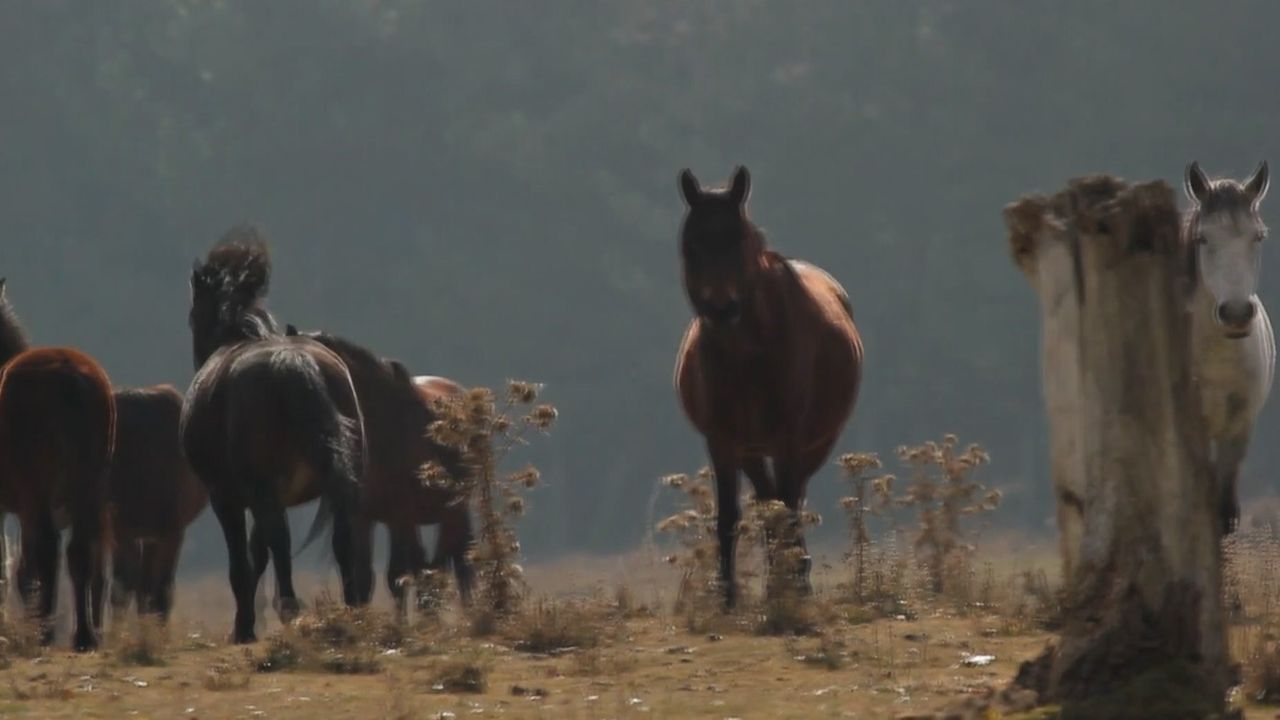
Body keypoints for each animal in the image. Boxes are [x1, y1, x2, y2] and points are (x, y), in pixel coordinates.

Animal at [0, 278, 114, 651]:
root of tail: (69, 373)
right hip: (86, 486)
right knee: (79, 553)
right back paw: (83, 635)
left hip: (38, 489)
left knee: (47, 551)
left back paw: (46, 633)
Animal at [108, 385, 208, 621]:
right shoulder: (121, 528)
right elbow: (125, 588)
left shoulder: (171, 530)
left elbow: (158, 592)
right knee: (136, 585)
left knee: (147, 587)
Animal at [181, 226, 370, 643]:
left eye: (192, 314)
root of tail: (292, 361)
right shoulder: (264, 497)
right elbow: (258, 555)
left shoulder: (228, 498)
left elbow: (243, 563)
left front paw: (244, 628)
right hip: (332, 484)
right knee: (342, 537)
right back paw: (352, 611)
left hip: (260, 491)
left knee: (281, 542)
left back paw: (290, 609)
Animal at [284, 325, 474, 615]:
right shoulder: (362, 517)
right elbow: (366, 578)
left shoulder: (401, 515)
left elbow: (398, 576)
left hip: (452, 512)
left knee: (449, 565)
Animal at [672, 166, 863, 607]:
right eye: (692, 245)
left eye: (739, 240)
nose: (722, 309)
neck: (747, 358)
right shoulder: (722, 442)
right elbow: (729, 517)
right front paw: (728, 598)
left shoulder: (789, 440)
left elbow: (787, 509)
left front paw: (790, 588)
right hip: (750, 450)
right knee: (767, 499)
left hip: (813, 445)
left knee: (789, 500)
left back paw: (796, 576)